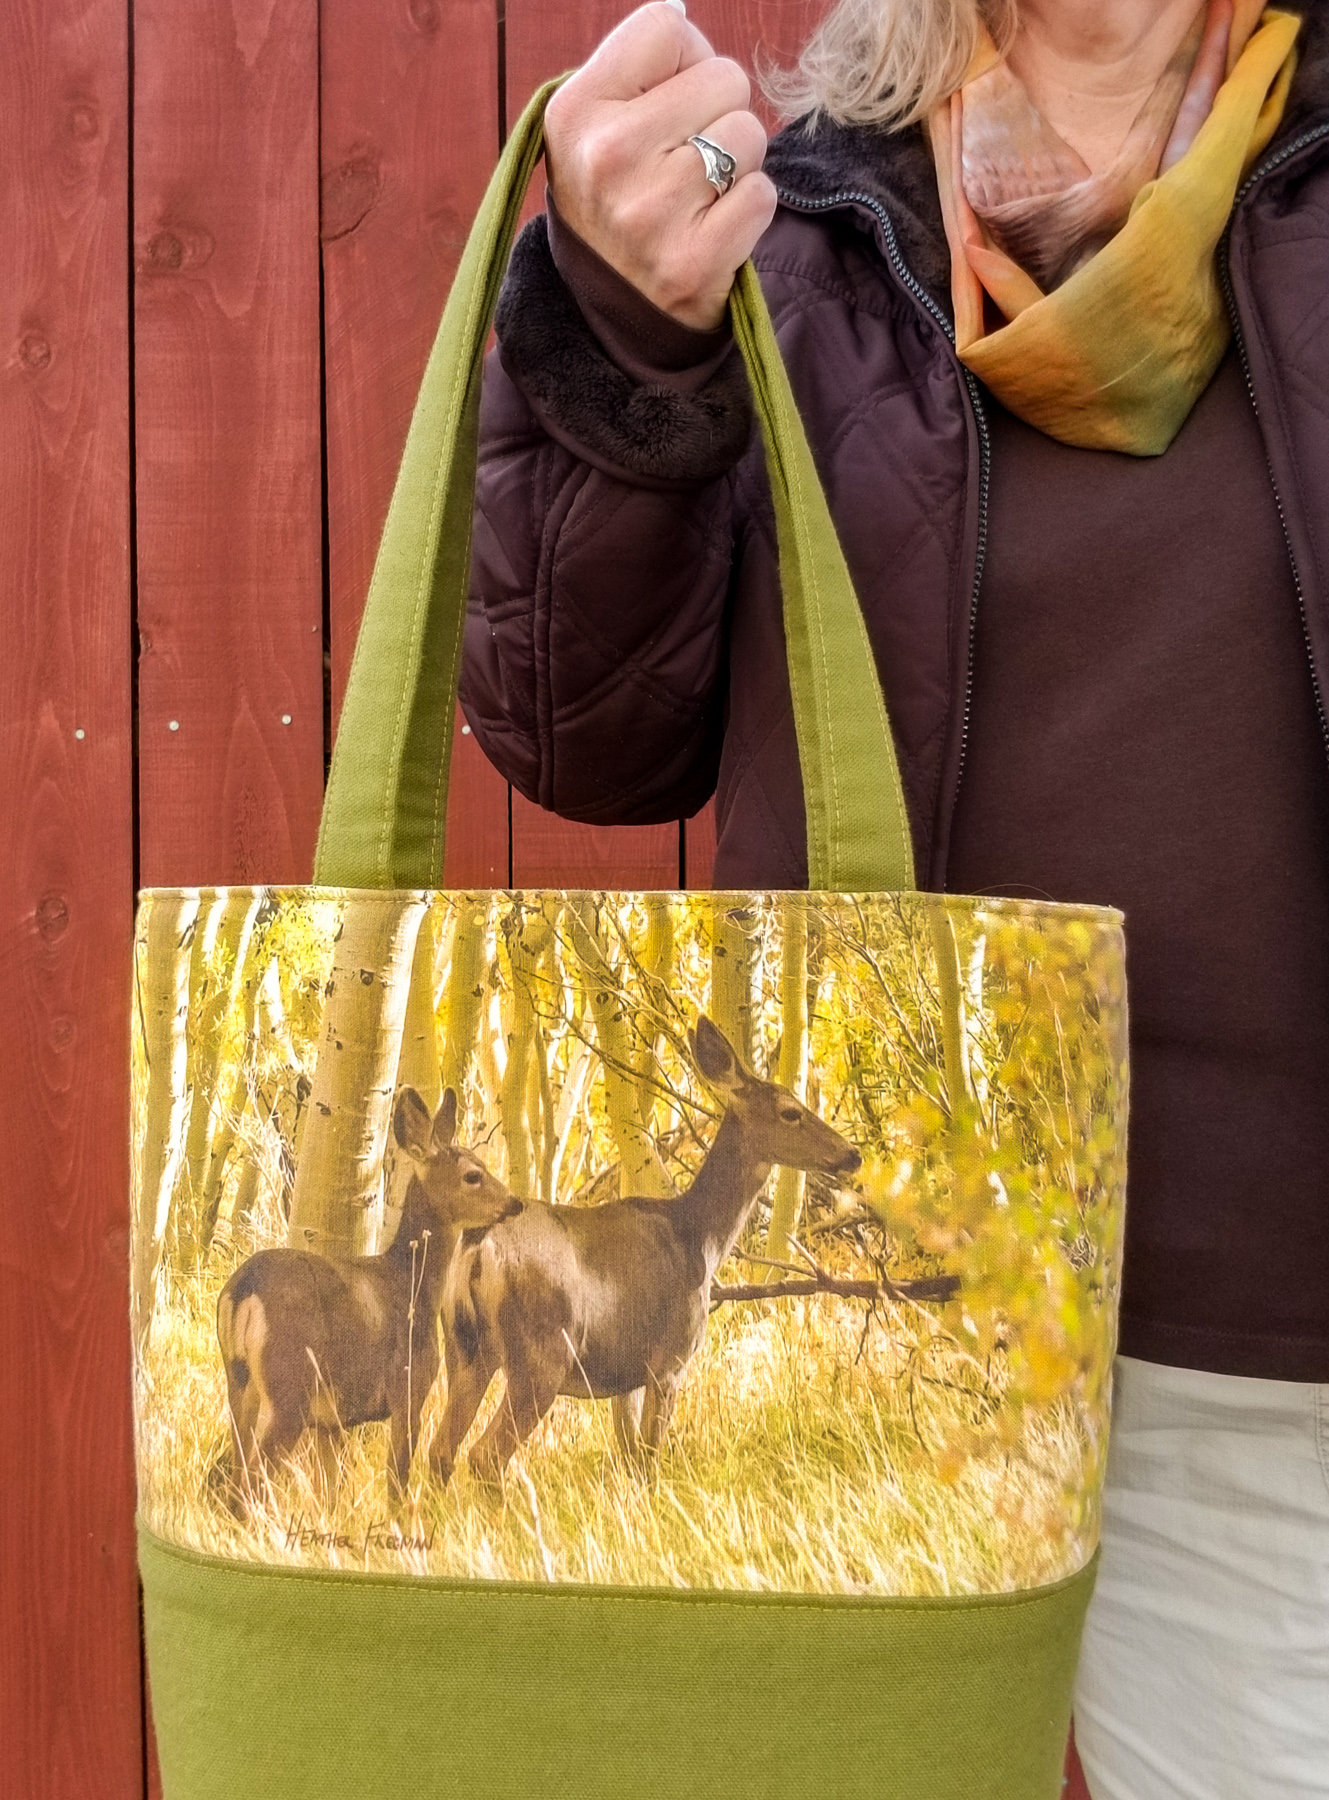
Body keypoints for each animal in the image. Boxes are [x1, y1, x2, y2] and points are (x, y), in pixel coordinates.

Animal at [216, 1087, 518, 1512]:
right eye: (473, 1175)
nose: (515, 1202)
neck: (412, 1285)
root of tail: (244, 1287)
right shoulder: (409, 1388)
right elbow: (397, 1480)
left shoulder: (331, 1422)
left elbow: (330, 1492)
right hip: (289, 1384)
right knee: (250, 1482)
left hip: (239, 1381)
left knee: (234, 1472)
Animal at [426, 1015, 860, 1490]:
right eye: (790, 1111)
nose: (852, 1154)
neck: (699, 1237)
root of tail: (477, 1251)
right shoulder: (669, 1359)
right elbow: (650, 1461)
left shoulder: (625, 1378)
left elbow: (629, 1457)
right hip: (542, 1353)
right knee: (484, 1455)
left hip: (466, 1351)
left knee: (440, 1451)